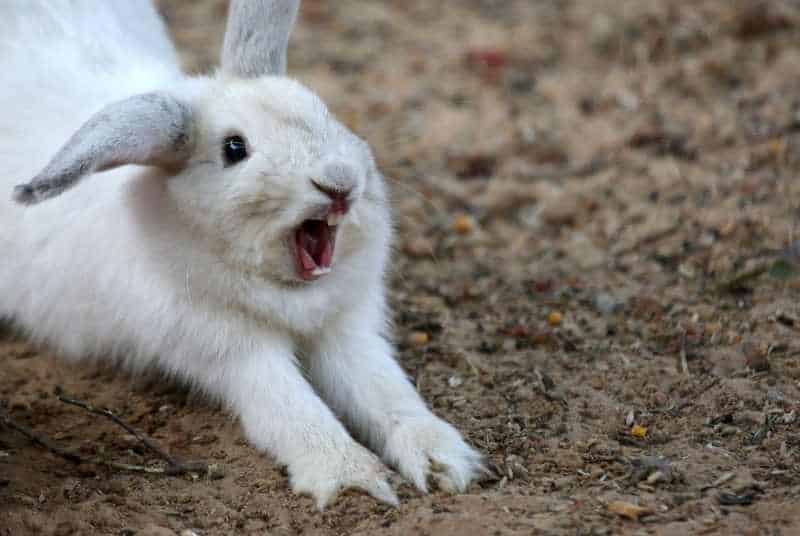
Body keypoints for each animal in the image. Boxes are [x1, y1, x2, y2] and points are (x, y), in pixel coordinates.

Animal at [0, 0, 484, 508]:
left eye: (323, 111)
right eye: (235, 148)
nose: (339, 182)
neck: (290, 293)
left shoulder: (347, 331)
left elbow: (384, 390)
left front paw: (444, 461)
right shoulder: (234, 352)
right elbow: (293, 410)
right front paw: (352, 480)